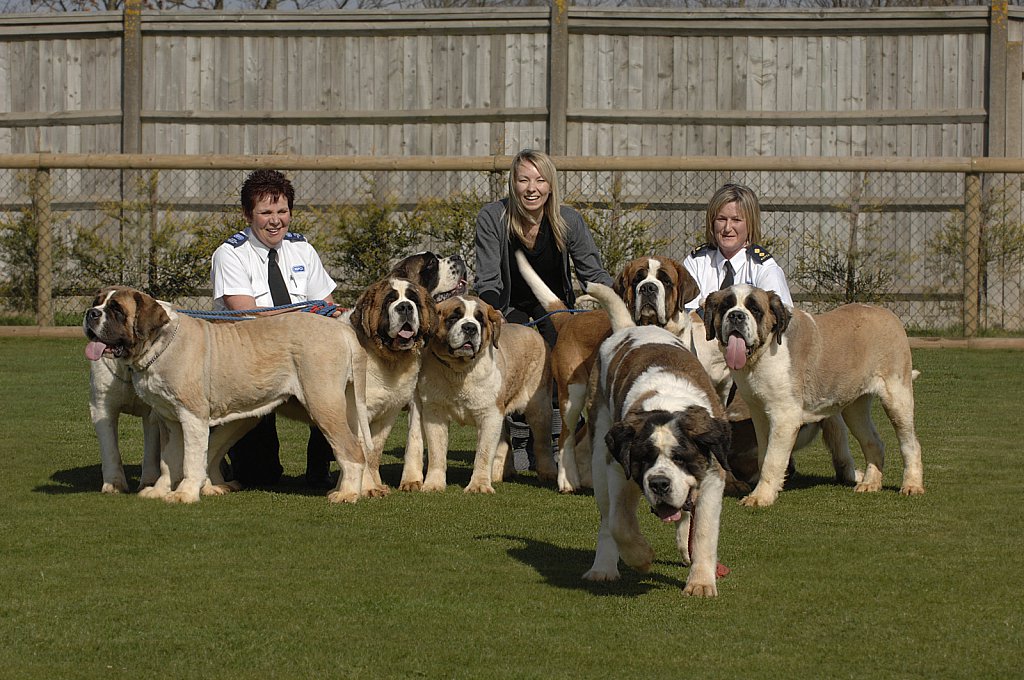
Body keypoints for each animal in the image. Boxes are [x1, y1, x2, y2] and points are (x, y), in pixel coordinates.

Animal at [82, 284, 372, 501]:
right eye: (97, 302)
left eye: (116, 309)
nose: (90, 313)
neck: (160, 343)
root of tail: (342, 330)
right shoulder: (169, 420)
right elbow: (169, 459)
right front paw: (160, 490)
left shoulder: (192, 416)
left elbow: (191, 459)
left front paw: (185, 494)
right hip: (344, 406)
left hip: (323, 403)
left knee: (351, 449)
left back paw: (346, 494)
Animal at [407, 294, 557, 491]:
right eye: (454, 317)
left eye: (480, 320)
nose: (470, 327)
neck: (459, 370)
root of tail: (532, 332)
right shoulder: (434, 412)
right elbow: (436, 452)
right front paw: (433, 484)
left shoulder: (490, 414)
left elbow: (484, 453)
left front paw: (478, 485)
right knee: (505, 443)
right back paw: (499, 473)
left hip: (539, 408)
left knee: (542, 443)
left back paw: (548, 473)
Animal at [581, 284, 733, 598]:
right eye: (646, 458)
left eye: (680, 458)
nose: (659, 483)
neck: (668, 402)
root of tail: (629, 328)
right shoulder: (619, 468)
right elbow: (619, 522)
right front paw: (641, 557)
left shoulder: (713, 476)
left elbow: (704, 532)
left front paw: (701, 581)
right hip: (599, 449)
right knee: (606, 518)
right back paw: (603, 568)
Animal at [708, 284, 925, 507]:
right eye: (725, 307)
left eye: (755, 309)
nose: (736, 316)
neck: (765, 351)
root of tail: (887, 314)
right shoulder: (759, 415)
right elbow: (763, 455)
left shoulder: (784, 417)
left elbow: (772, 460)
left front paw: (760, 497)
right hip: (855, 410)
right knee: (873, 441)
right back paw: (869, 483)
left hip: (897, 399)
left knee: (910, 444)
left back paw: (912, 485)